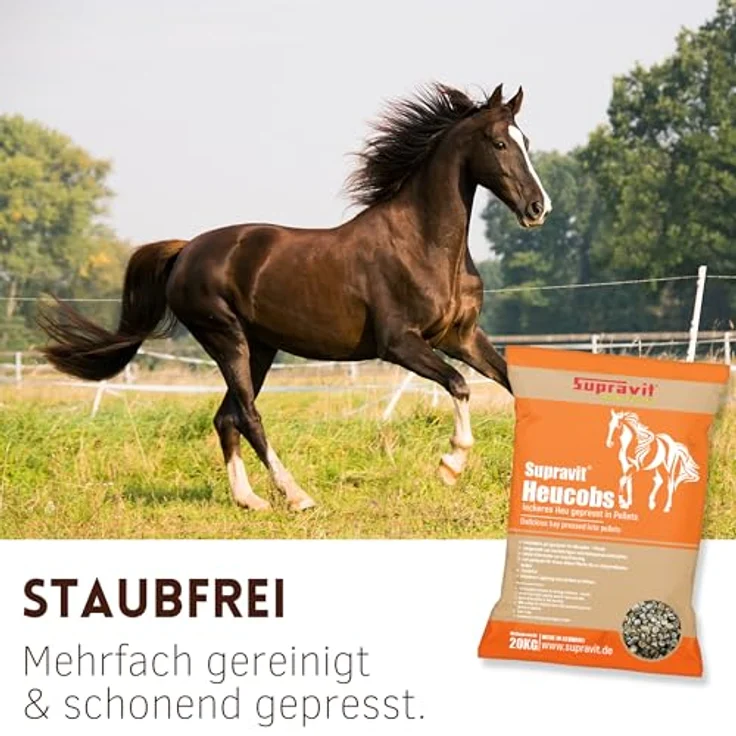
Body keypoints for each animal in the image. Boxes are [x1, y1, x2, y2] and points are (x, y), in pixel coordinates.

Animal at [38, 83, 551, 512]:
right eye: (500, 143)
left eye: (526, 142)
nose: (537, 208)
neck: (422, 243)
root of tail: (185, 251)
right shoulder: (400, 344)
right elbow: (459, 385)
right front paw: (451, 466)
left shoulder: (460, 337)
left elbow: (513, 383)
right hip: (226, 338)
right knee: (248, 415)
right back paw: (296, 496)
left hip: (260, 348)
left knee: (225, 417)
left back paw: (249, 500)